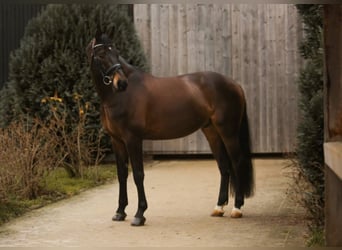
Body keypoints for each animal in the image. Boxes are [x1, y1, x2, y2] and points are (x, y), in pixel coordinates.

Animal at [87, 32, 254, 227]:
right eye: (101, 55)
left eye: (116, 53)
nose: (121, 83)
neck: (120, 96)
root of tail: (235, 84)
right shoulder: (117, 140)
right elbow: (122, 174)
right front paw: (120, 212)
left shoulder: (133, 139)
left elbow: (138, 174)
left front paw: (139, 214)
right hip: (212, 132)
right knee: (224, 166)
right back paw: (219, 207)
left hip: (228, 132)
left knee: (237, 163)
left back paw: (237, 208)